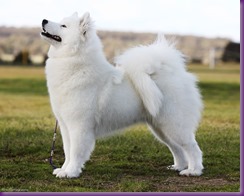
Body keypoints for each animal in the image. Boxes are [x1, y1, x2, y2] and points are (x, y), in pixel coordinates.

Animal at [41, 11, 204, 178]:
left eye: (63, 26)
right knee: (177, 148)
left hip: (174, 124)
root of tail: (176, 73)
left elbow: (75, 152)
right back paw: (178, 166)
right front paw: (63, 169)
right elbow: (67, 152)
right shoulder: (65, 126)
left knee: (192, 147)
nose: (44, 20)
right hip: (161, 128)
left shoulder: (79, 126)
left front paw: (72, 172)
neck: (74, 62)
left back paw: (193, 170)